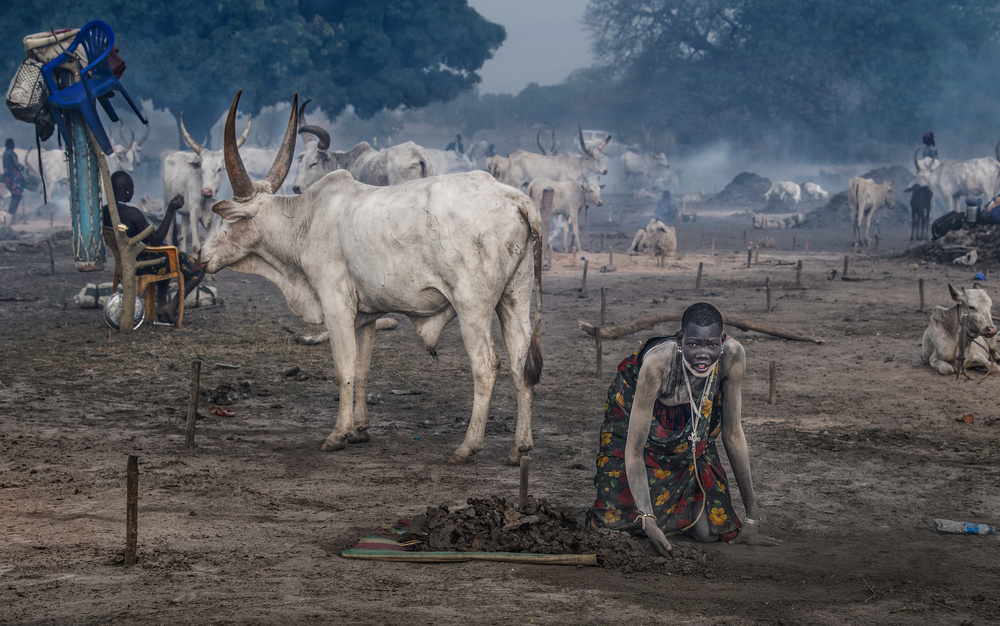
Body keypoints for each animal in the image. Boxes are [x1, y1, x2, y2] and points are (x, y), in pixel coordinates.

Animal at [200, 91, 544, 464]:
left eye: (226, 219)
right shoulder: (365, 316)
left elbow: (343, 369)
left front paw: (337, 435)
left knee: (486, 366)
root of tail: (514, 198)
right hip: (514, 299)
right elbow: (362, 369)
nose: (201, 256)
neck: (305, 220)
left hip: (473, 309)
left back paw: (468, 447)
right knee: (521, 364)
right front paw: (360, 430)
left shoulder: (336, 306)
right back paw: (520, 448)